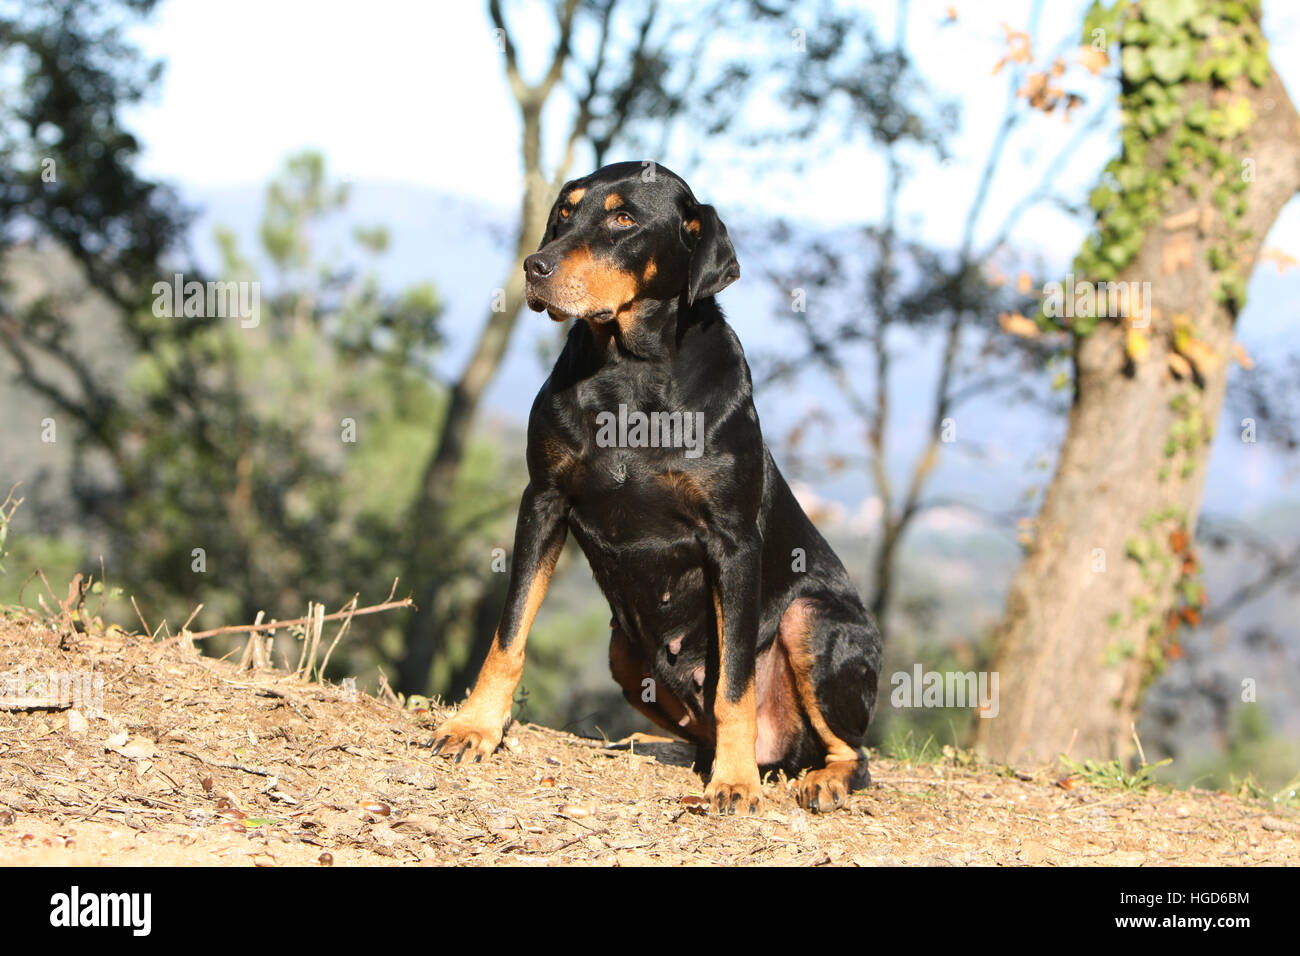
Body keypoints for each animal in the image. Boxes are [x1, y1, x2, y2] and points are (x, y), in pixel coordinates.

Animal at [436, 162, 883, 816]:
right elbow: (510, 630)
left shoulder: (732, 540)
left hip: (813, 621)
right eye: (565, 212)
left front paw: (735, 783)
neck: (628, 375)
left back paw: (812, 776)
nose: (535, 266)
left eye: (624, 219)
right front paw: (475, 727)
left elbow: (736, 681)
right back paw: (656, 746)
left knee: (853, 751)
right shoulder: (543, 499)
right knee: (698, 729)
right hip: (624, 653)